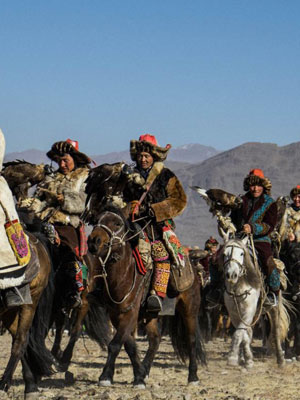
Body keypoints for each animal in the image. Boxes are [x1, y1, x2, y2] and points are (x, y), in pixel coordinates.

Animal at [85, 203, 205, 388]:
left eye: (117, 223)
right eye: (97, 220)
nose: (93, 241)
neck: (123, 275)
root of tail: (192, 263)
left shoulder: (131, 313)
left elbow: (115, 344)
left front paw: (105, 376)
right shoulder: (116, 314)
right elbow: (129, 345)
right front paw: (139, 375)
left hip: (189, 310)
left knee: (191, 340)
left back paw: (193, 377)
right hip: (151, 314)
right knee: (155, 340)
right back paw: (146, 371)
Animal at [223, 234, 288, 368]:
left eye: (241, 253)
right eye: (224, 254)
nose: (231, 275)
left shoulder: (249, 311)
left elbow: (238, 334)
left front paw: (232, 358)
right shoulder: (234, 314)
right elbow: (243, 334)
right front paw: (247, 359)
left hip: (274, 307)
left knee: (276, 329)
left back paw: (280, 359)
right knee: (249, 332)